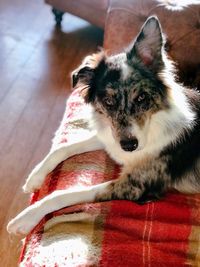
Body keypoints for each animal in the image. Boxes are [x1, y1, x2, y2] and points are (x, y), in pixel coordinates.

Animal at [6, 15, 200, 236]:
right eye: (108, 102)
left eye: (142, 97)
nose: (129, 146)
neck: (152, 125)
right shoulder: (111, 137)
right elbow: (62, 148)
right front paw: (35, 177)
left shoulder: (136, 185)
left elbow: (66, 194)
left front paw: (26, 218)